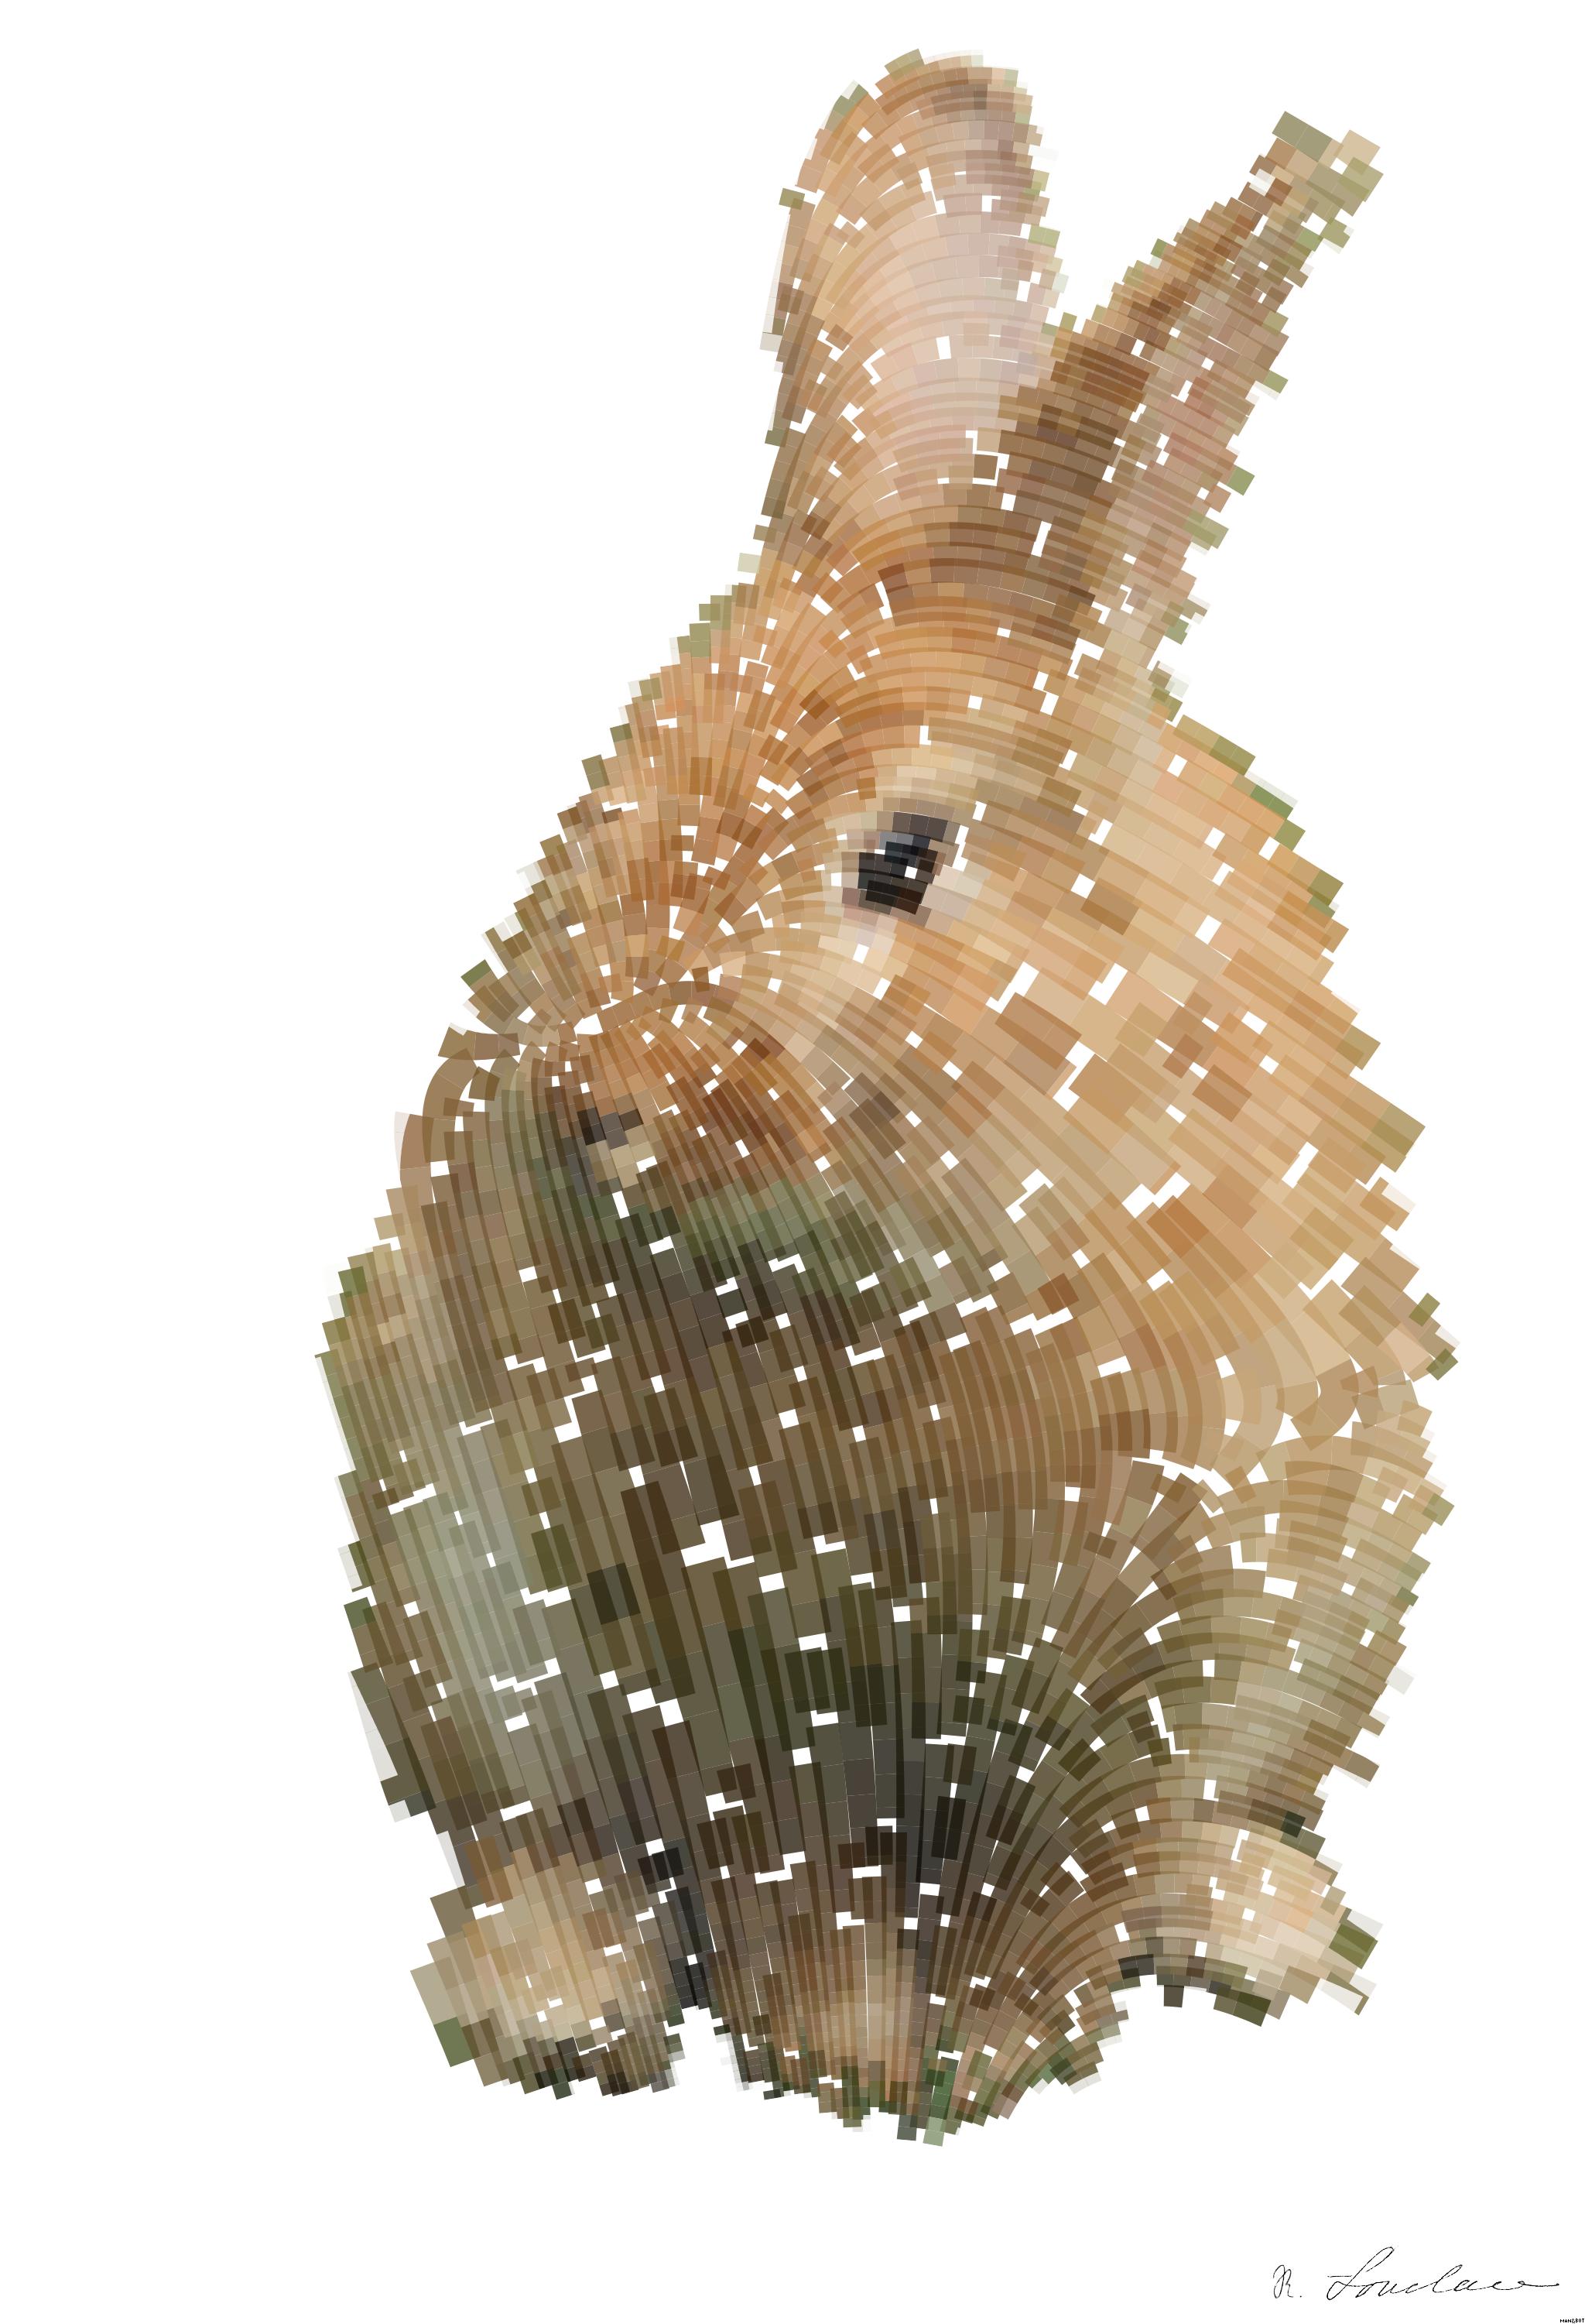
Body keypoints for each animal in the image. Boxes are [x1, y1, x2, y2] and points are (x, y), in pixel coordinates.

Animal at [324, 52, 1450, 2140]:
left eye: (902, 862)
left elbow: (1051, 1865)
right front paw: (848, 2057)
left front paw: (976, 2050)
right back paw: (553, 2001)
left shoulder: (1148, 1649)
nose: (589, 1099)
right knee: (540, 1841)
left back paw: (1255, 1920)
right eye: (601, 804)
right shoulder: (729, 1685)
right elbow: (796, 1882)